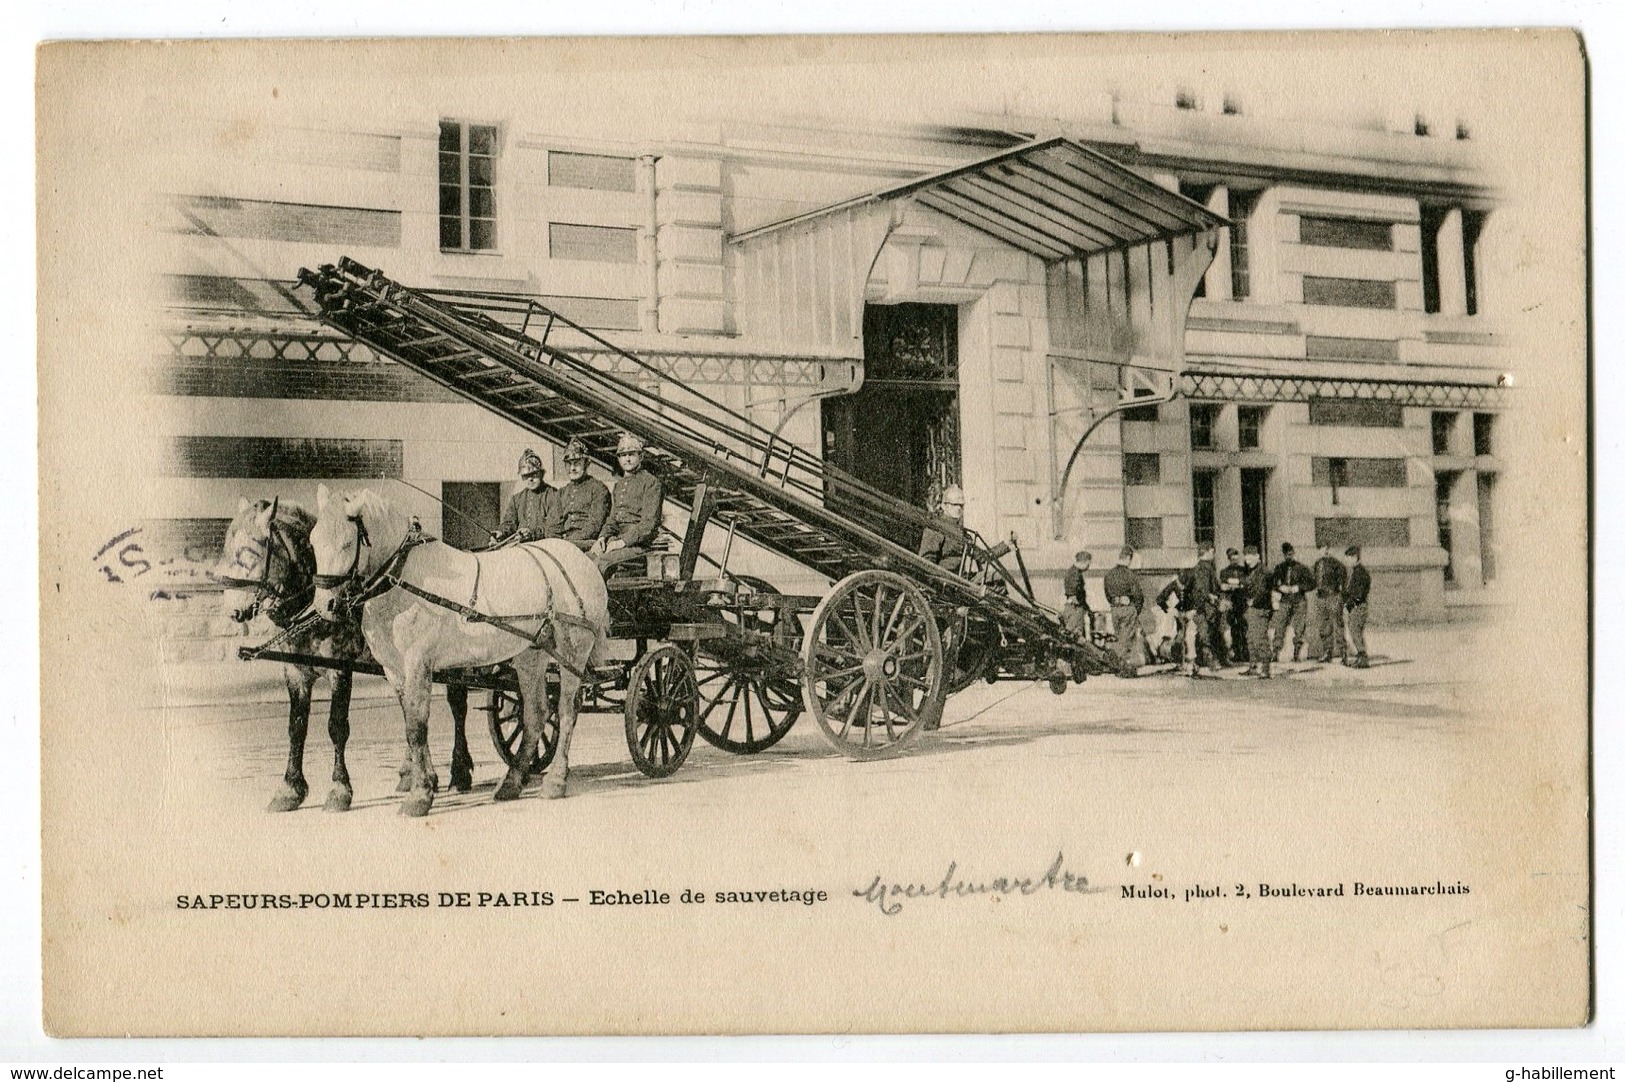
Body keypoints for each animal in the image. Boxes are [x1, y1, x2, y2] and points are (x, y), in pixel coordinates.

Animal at [307, 484, 607, 812]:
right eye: (313, 542)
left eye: (348, 543)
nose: (325, 606)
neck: (405, 578)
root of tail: (581, 558)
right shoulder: (394, 670)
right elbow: (411, 726)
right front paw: (423, 783)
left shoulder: (418, 664)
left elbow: (417, 727)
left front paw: (420, 795)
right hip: (533, 653)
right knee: (537, 713)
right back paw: (511, 783)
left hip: (573, 650)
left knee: (566, 711)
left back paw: (555, 781)